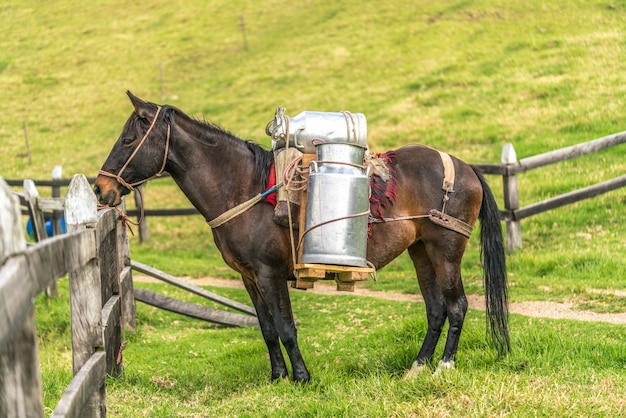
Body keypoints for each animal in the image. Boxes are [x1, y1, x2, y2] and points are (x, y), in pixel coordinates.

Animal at [94, 91, 508, 382]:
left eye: (128, 139)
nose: (101, 189)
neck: (242, 187)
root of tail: (466, 167)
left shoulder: (270, 273)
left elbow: (286, 326)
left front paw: (302, 377)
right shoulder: (249, 278)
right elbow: (266, 329)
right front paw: (277, 376)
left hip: (446, 250)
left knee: (457, 306)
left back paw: (444, 366)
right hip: (421, 251)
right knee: (436, 309)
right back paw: (418, 366)